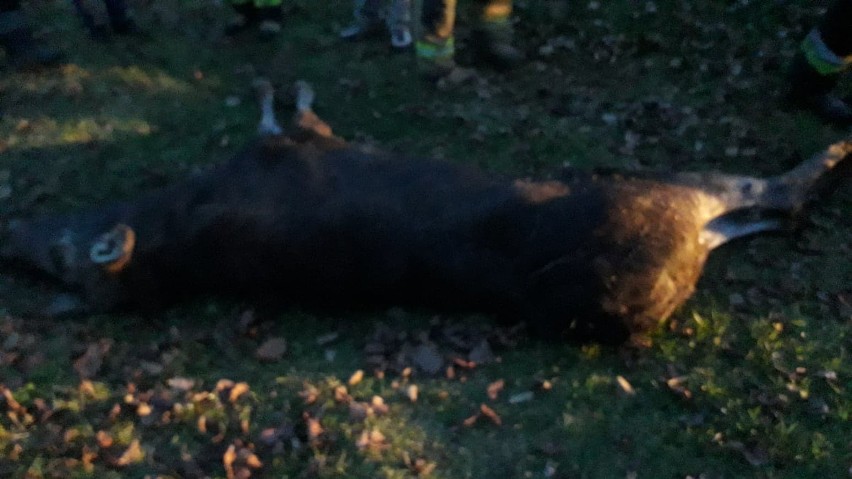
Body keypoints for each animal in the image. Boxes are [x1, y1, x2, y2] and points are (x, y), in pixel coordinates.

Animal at [1, 81, 852, 344]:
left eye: (61, 255)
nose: (12, 230)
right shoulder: (297, 142)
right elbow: (289, 111)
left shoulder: (291, 143)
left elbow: (282, 107)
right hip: (667, 194)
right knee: (761, 195)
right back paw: (833, 154)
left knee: (762, 205)